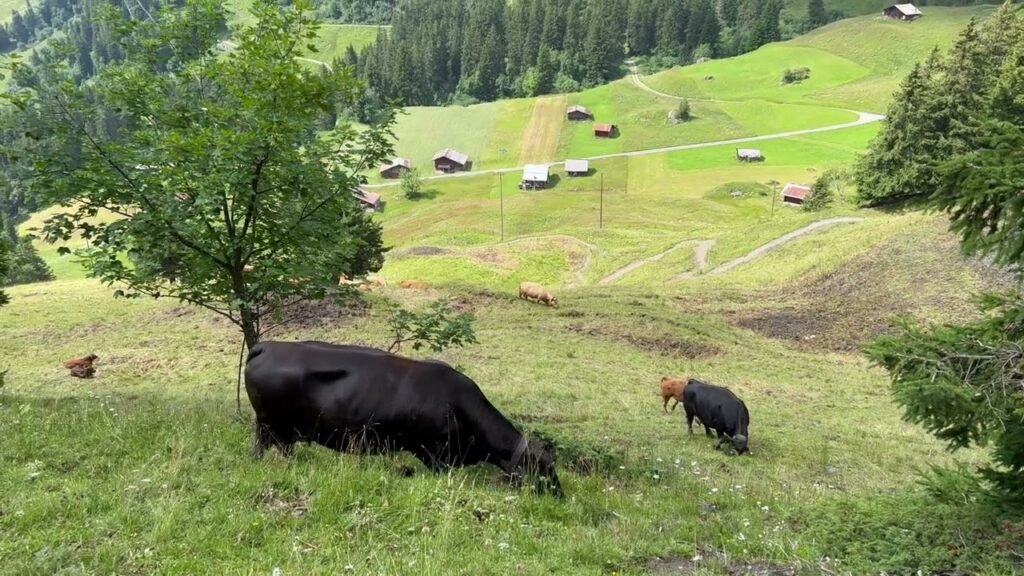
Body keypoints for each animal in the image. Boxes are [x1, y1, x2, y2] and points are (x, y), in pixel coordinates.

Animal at [244, 341, 562, 495]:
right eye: (544, 469)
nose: (559, 494)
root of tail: (267, 345)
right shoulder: (436, 455)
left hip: (280, 429)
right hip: (268, 424)